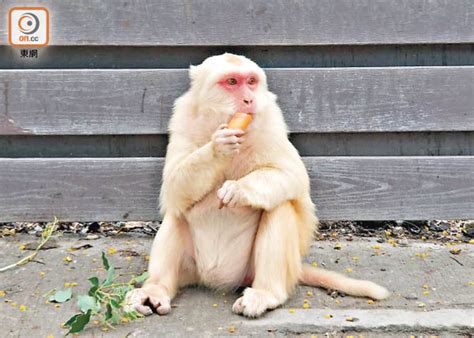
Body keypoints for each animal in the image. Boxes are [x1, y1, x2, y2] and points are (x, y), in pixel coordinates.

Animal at [126, 52, 388, 316]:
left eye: (251, 81)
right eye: (232, 82)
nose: (249, 99)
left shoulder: (271, 120)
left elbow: (293, 176)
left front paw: (238, 190)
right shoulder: (182, 119)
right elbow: (172, 189)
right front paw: (217, 148)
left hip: (254, 271)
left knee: (279, 205)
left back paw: (266, 293)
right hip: (192, 269)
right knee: (177, 212)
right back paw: (156, 289)